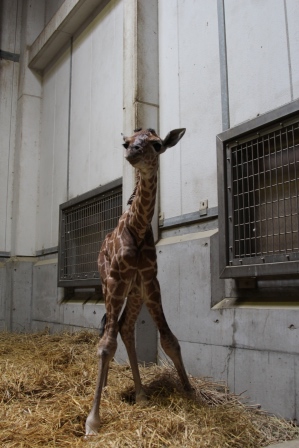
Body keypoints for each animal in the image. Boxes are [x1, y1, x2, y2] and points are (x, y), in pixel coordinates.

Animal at [85, 126, 191, 434]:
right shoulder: (117, 280)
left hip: (134, 293)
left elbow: (169, 339)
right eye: (127, 143)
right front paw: (92, 421)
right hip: (109, 286)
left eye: (156, 145)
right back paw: (107, 388)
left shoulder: (150, 281)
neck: (138, 225)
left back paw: (141, 394)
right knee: (110, 333)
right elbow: (105, 346)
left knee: (125, 328)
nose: (132, 153)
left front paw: (191, 393)